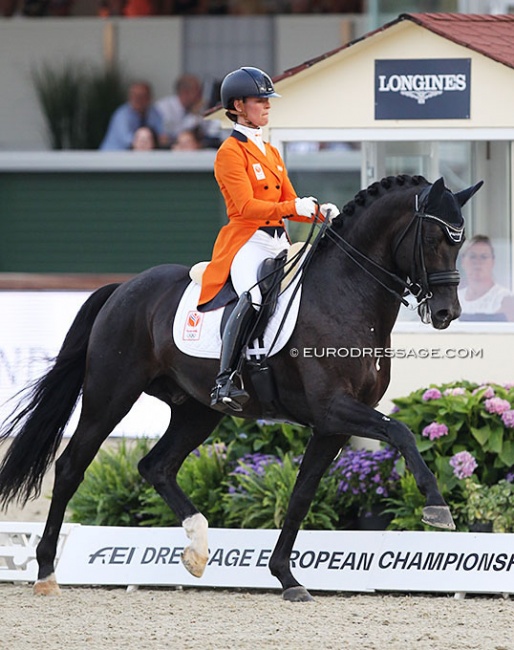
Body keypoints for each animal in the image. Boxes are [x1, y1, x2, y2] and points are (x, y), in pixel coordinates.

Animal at [0, 172, 480, 596]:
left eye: (460, 242)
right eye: (433, 239)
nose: (447, 313)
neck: (346, 295)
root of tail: (123, 288)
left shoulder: (332, 427)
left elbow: (301, 494)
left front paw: (287, 578)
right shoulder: (334, 410)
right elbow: (401, 432)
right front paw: (436, 506)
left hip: (197, 410)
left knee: (156, 466)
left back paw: (197, 550)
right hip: (110, 395)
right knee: (70, 467)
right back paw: (46, 572)